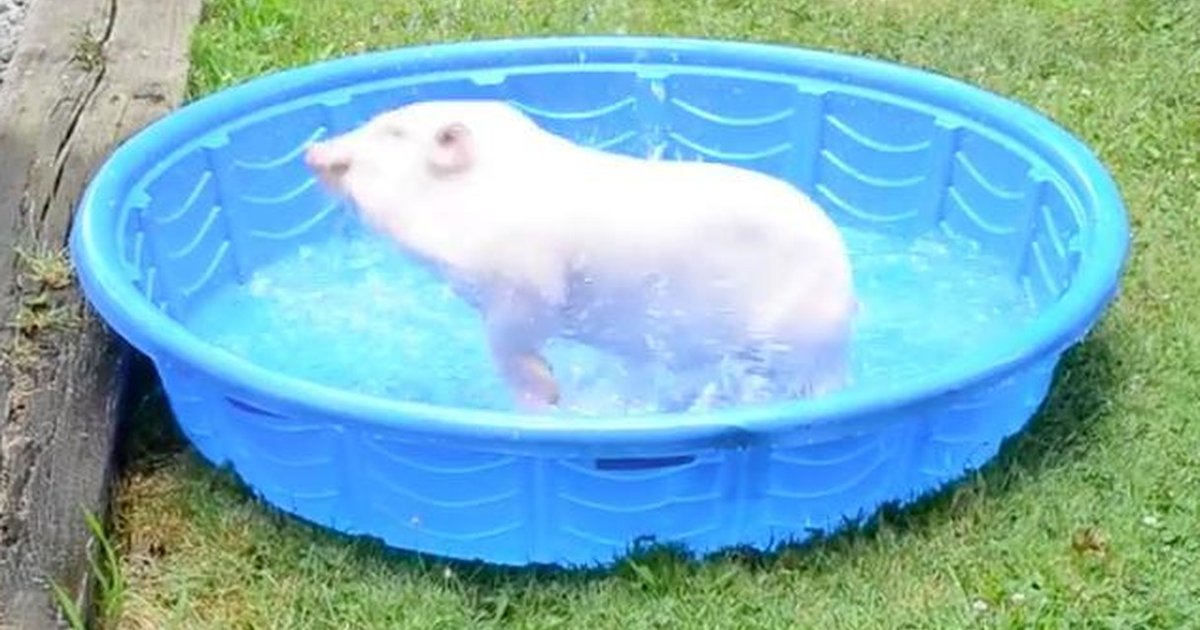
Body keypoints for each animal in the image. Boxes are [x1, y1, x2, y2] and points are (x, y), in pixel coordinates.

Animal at [303, 99, 857, 413]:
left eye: (393, 134)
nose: (311, 151)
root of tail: (847, 300)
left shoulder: (529, 284)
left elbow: (509, 343)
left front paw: (548, 401)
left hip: (791, 340)